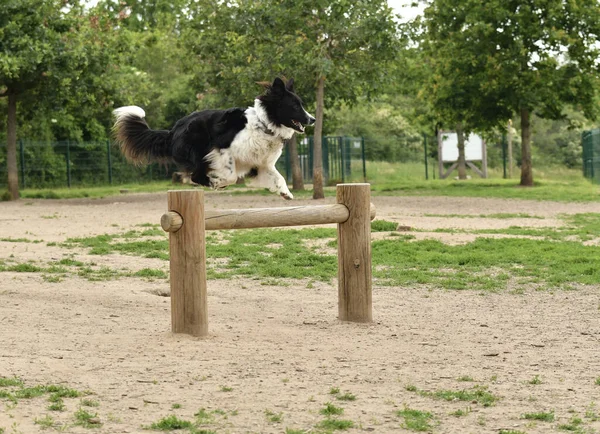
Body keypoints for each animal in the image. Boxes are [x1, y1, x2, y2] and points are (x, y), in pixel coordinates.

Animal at [114, 78, 316, 200]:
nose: (312, 119)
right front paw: (220, 181)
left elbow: (278, 176)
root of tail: (173, 130)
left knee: (196, 176)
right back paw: (215, 183)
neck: (264, 123)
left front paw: (285, 192)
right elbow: (232, 175)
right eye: (294, 106)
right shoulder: (222, 149)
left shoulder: (260, 164)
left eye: (301, 104)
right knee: (195, 176)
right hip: (199, 148)